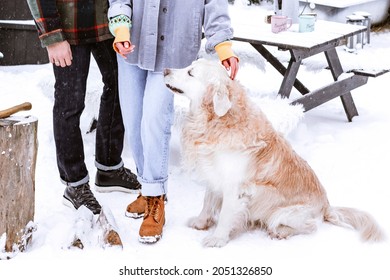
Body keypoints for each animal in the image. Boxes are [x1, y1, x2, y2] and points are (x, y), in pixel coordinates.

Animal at [161, 58, 384, 246]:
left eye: (190, 73)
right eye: (188, 67)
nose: (164, 70)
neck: (217, 121)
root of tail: (326, 206)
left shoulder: (235, 186)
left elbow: (225, 215)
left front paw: (217, 239)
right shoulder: (215, 174)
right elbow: (207, 202)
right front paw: (201, 222)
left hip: (284, 213)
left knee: (310, 227)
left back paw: (280, 232)